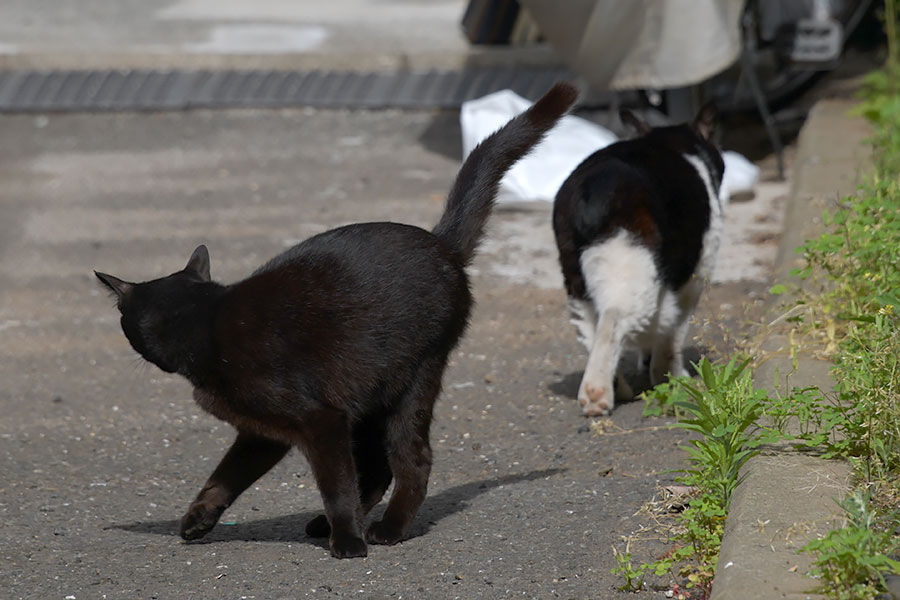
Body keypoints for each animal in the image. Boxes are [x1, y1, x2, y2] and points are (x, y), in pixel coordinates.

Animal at [96, 82, 576, 560]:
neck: (208, 325)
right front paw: (198, 518)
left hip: (412, 379)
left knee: (411, 461)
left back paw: (384, 529)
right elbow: (226, 475)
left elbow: (336, 483)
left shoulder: (320, 420)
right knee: (378, 467)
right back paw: (335, 523)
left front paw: (347, 540)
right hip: (369, 395)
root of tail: (441, 243)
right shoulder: (263, 432)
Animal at [552, 105, 728, 414]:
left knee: (590, 329)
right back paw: (597, 393)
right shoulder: (692, 279)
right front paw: (671, 376)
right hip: (633, 273)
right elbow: (673, 335)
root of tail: (592, 189)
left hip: (577, 281)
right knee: (612, 322)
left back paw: (617, 386)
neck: (671, 142)